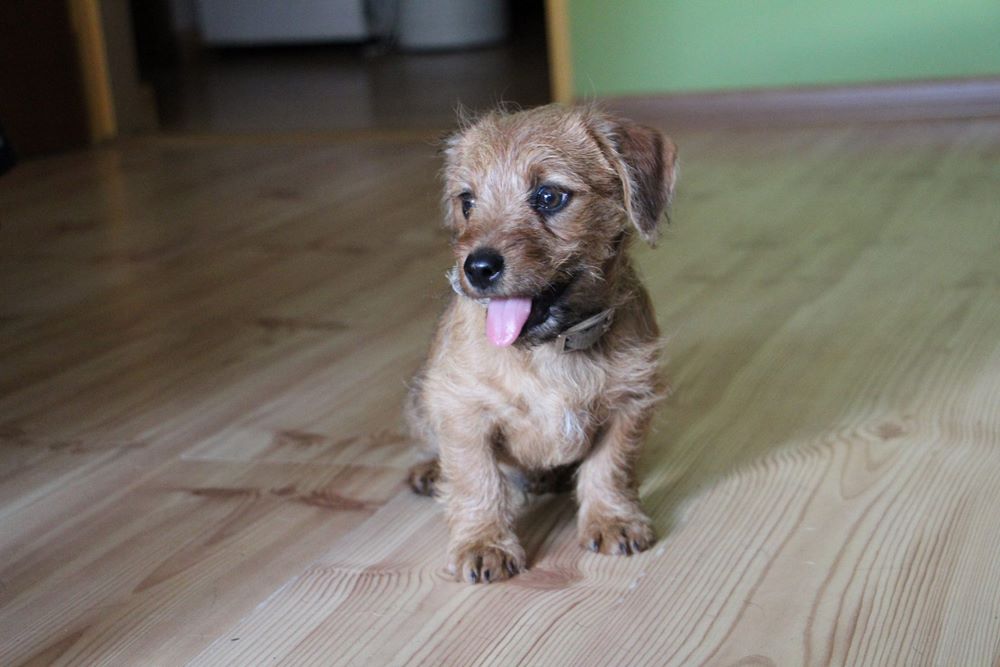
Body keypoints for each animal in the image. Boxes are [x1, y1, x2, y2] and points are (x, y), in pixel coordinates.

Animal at [405, 104, 677, 583]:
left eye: (549, 197)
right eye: (467, 201)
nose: (477, 267)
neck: (549, 350)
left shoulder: (630, 401)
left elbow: (612, 466)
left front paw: (613, 519)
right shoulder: (463, 412)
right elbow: (476, 479)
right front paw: (484, 544)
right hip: (422, 393)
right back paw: (427, 468)